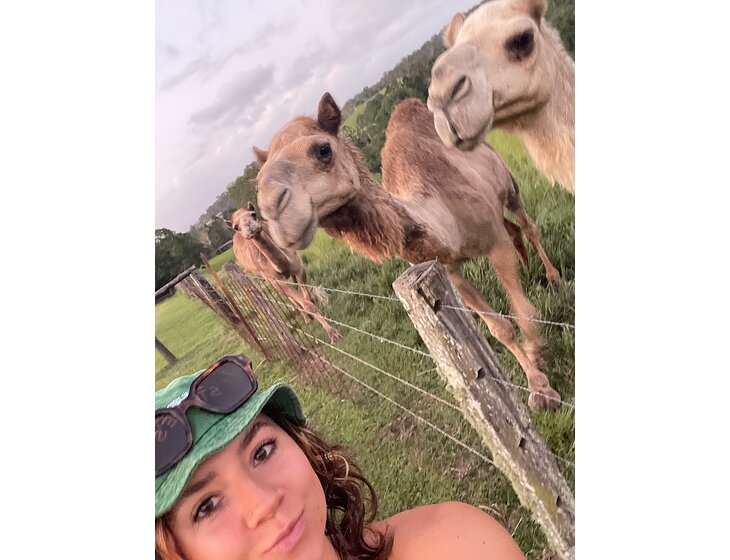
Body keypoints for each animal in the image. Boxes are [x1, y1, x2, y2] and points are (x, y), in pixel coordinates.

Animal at [225, 202, 342, 344]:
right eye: (236, 227)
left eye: (253, 214)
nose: (250, 226)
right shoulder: (274, 279)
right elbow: (303, 302)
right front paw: (330, 333)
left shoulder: (298, 267)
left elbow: (308, 300)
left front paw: (333, 333)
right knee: (290, 297)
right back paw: (306, 319)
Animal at [254, 92, 564, 410]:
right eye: (258, 180)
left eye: (322, 149)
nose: (272, 210)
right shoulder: (446, 268)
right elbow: (499, 328)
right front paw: (536, 375)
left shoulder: (493, 243)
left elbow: (523, 313)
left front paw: (541, 385)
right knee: (513, 230)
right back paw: (526, 266)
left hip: (507, 183)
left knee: (526, 225)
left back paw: (553, 277)